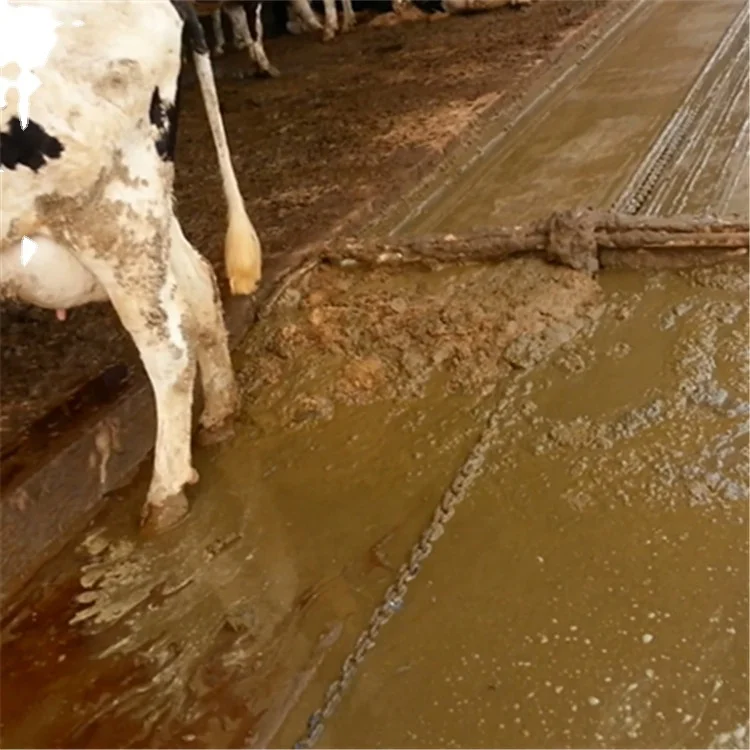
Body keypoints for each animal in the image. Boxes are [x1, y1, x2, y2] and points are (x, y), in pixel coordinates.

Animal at [0, 0, 261, 531]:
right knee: (199, 285)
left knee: (169, 349)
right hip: (144, 207)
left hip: (111, 211)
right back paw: (219, 417)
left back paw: (166, 493)